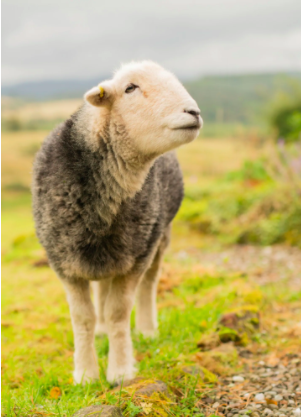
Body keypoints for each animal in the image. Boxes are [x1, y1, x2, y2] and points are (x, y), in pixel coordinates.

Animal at [31, 61, 202, 384]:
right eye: (130, 88)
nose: (194, 112)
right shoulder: (63, 263)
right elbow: (82, 317)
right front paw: (85, 374)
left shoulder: (135, 258)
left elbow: (119, 313)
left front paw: (120, 371)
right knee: (101, 288)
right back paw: (100, 333)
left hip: (157, 238)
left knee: (149, 284)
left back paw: (147, 331)